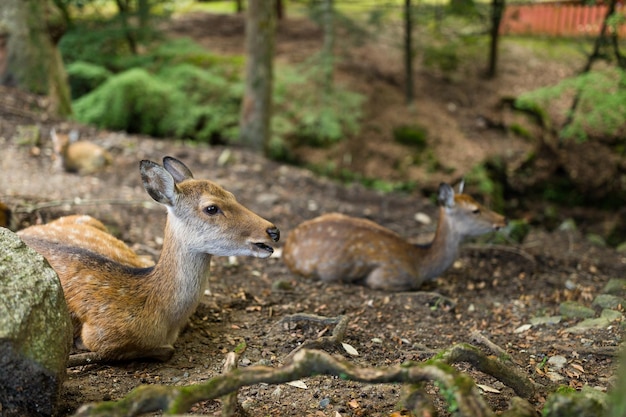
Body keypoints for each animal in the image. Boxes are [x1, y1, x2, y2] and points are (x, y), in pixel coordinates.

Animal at [282, 180, 508, 290]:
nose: (504, 219)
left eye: (477, 201)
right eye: (475, 210)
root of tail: (287, 245)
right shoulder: (387, 277)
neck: (421, 265)